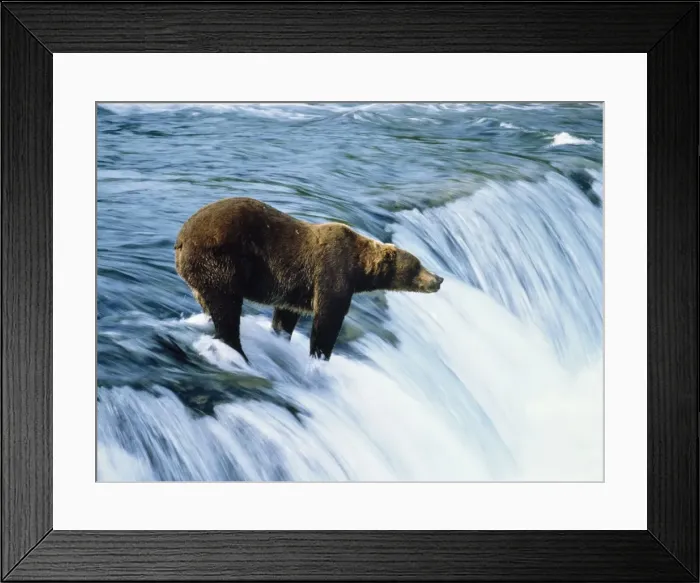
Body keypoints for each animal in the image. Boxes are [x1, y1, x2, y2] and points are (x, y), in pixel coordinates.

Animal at [174, 197, 443, 362]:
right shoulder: (332, 272)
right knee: (226, 306)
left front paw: (281, 337)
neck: (359, 269)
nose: (439, 278)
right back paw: (237, 351)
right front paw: (319, 356)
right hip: (220, 261)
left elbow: (286, 315)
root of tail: (181, 237)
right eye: (417, 265)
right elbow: (328, 319)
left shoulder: (293, 288)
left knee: (210, 302)